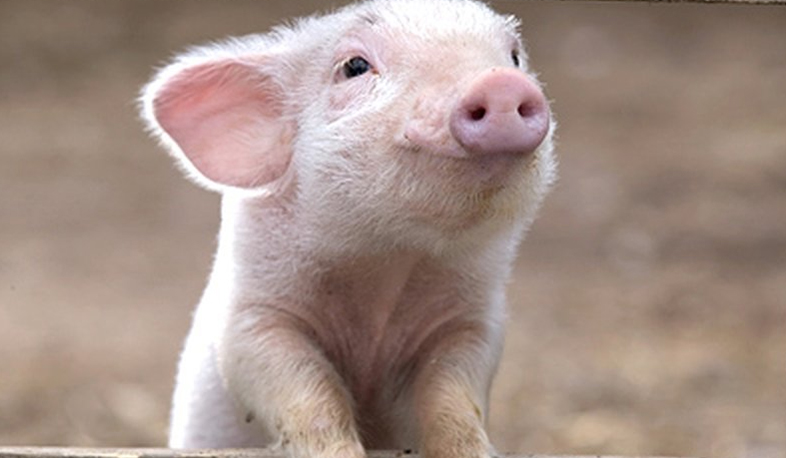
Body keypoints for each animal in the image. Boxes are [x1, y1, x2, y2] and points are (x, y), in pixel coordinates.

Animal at [140, 0, 556, 457]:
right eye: (355, 66)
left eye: (514, 57)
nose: (502, 82)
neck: (388, 265)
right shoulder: (252, 318)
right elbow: (306, 391)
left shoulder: (473, 323)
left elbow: (454, 398)